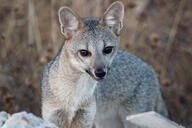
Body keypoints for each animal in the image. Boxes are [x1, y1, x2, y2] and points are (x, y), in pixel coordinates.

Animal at [41, 1, 169, 128]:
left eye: (107, 49)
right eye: (84, 52)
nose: (100, 73)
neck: (74, 96)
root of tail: (150, 68)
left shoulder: (85, 118)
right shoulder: (53, 117)